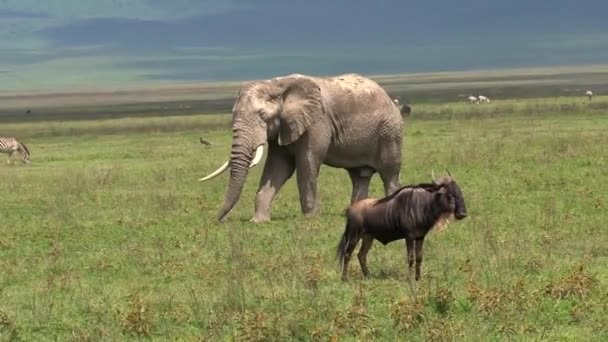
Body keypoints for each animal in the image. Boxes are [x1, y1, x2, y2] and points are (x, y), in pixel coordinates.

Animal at [200, 73, 406, 222]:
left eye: (263, 116)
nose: (220, 220)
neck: (277, 85)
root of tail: (389, 98)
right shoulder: (283, 127)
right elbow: (277, 168)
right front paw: (259, 220)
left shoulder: (317, 123)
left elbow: (307, 164)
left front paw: (310, 218)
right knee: (360, 176)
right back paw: (353, 213)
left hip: (389, 133)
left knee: (389, 173)